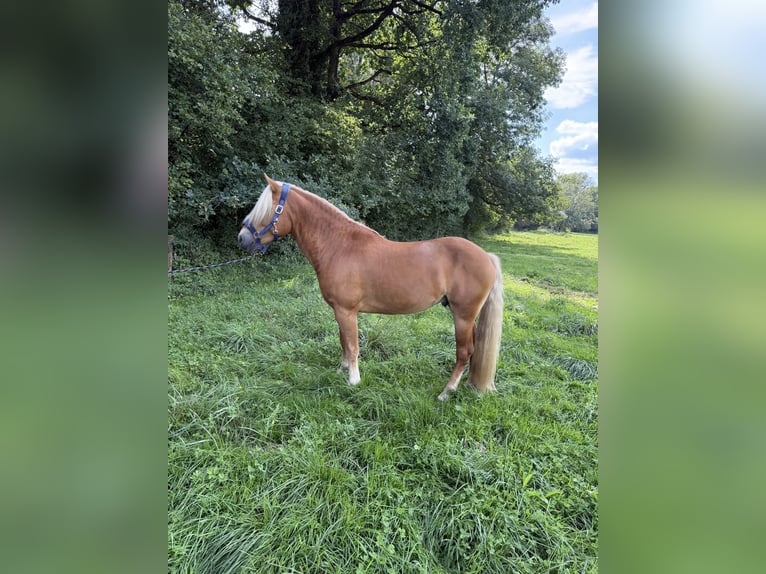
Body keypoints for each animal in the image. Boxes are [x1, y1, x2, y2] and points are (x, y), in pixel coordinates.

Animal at [238, 176, 504, 401]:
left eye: (268, 210)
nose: (242, 238)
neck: (339, 246)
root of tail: (486, 257)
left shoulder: (347, 311)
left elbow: (352, 345)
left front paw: (353, 380)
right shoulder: (340, 311)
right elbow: (343, 342)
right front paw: (341, 370)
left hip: (462, 316)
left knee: (464, 352)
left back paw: (446, 392)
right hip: (467, 317)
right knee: (474, 349)